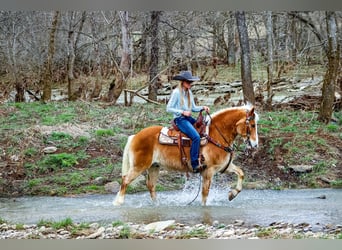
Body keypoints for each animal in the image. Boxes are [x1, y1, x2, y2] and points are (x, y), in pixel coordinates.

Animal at [113, 104, 260, 206]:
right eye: (252, 125)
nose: (255, 145)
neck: (215, 136)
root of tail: (135, 136)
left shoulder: (224, 166)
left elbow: (241, 173)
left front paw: (232, 194)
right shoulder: (208, 171)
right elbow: (205, 194)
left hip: (154, 167)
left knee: (151, 186)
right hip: (139, 166)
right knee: (125, 180)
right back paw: (118, 202)